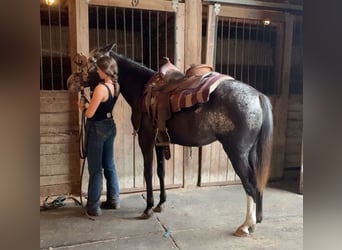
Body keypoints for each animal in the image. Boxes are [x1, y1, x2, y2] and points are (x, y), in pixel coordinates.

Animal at [68, 43, 274, 236]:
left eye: (91, 60)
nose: (70, 82)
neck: (142, 88)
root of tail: (257, 96)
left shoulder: (146, 140)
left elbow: (148, 173)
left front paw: (148, 208)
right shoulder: (160, 141)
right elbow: (161, 172)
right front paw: (160, 204)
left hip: (236, 153)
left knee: (249, 184)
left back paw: (245, 226)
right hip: (250, 153)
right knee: (256, 182)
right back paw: (255, 221)